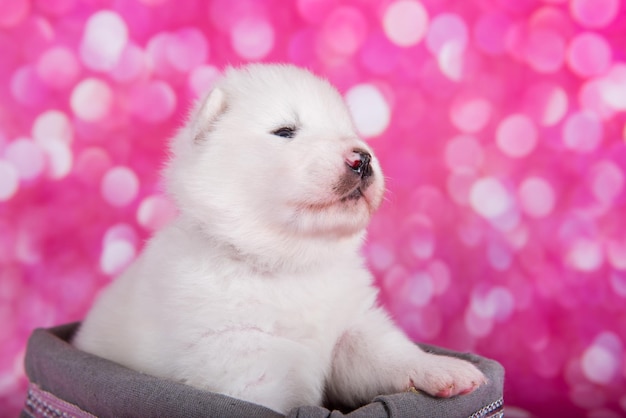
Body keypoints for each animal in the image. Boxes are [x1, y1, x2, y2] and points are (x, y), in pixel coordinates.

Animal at [72, 63, 482, 414]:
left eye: (350, 131)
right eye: (285, 132)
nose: (363, 158)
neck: (289, 261)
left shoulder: (350, 327)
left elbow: (386, 353)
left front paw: (444, 369)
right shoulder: (242, 361)